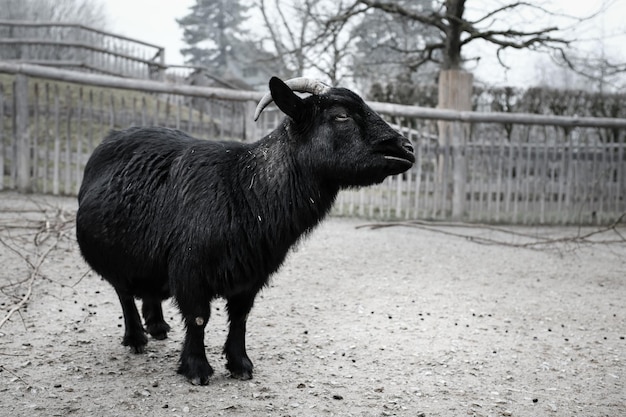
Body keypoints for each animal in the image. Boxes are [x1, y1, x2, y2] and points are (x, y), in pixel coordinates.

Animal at [74, 75, 414, 384]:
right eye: (341, 115)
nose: (406, 148)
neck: (242, 188)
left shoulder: (251, 273)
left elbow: (240, 317)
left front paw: (240, 365)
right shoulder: (190, 269)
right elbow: (198, 317)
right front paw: (197, 369)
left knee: (148, 290)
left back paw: (157, 327)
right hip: (113, 253)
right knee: (123, 292)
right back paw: (136, 338)